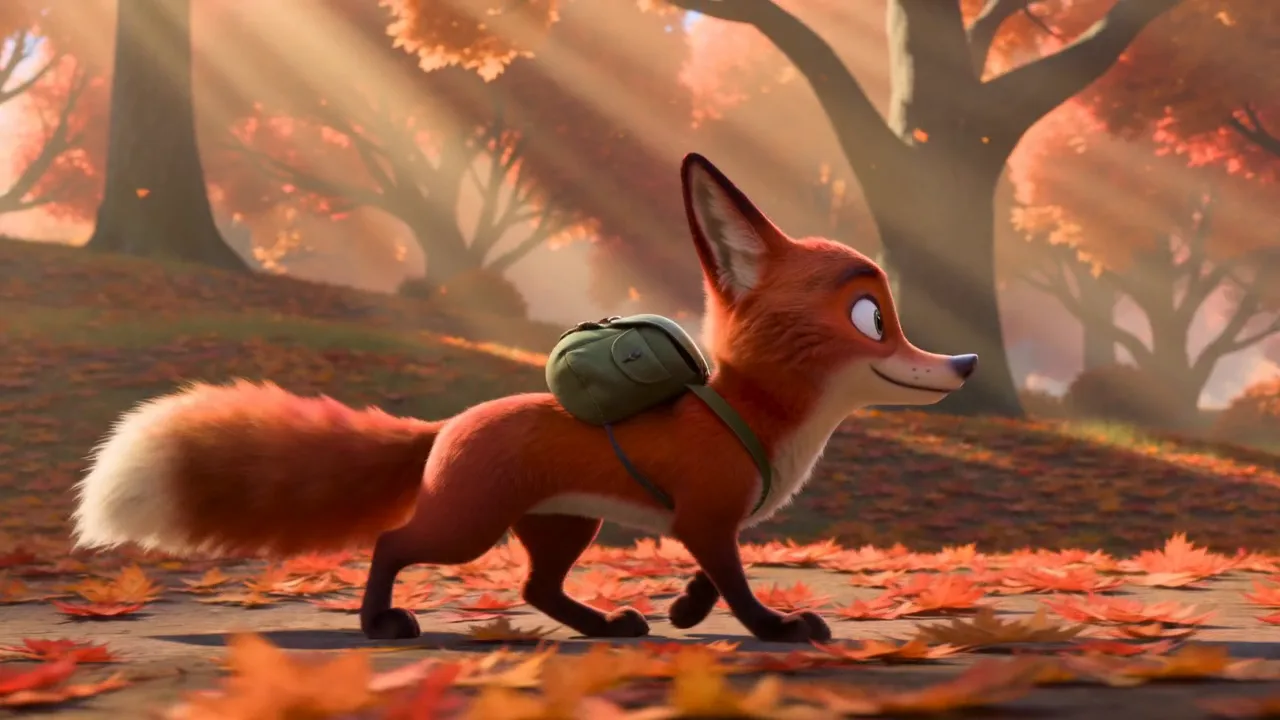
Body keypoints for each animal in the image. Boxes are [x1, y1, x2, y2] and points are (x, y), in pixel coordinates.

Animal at [71, 153, 977, 644]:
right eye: (872, 319)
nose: (965, 360)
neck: (749, 415)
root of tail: (448, 424)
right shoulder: (704, 516)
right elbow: (739, 585)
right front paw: (776, 629)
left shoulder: (705, 521)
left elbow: (713, 578)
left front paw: (685, 612)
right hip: (469, 527)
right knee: (393, 544)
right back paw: (380, 625)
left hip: (564, 527)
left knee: (536, 590)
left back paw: (606, 626)